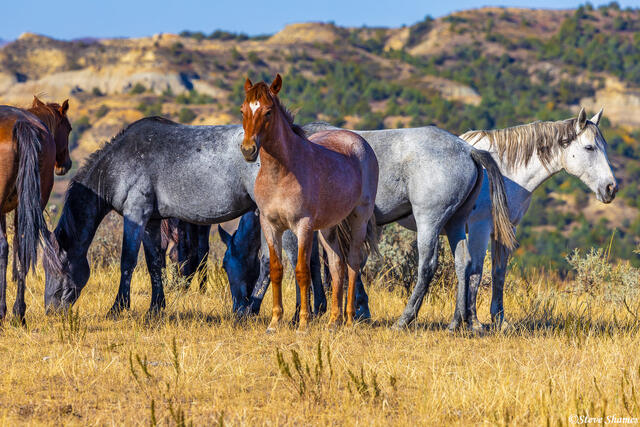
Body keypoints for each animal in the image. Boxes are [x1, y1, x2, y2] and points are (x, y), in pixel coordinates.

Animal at [0, 97, 72, 322]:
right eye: (69, 129)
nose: (66, 164)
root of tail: (22, 124)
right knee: (23, 246)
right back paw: (19, 312)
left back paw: (4, 311)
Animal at [43, 117, 327, 317]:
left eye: (57, 266)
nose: (50, 309)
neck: (118, 163)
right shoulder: (152, 221)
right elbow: (154, 262)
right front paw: (156, 307)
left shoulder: (135, 214)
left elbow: (128, 261)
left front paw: (118, 307)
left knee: (295, 258)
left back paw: (293, 315)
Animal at [240, 74, 379, 332]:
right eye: (243, 109)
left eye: (268, 112)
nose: (248, 150)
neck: (281, 173)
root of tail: (358, 141)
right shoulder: (270, 226)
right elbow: (276, 270)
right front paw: (275, 322)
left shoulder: (302, 227)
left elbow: (302, 271)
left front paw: (303, 322)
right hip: (328, 229)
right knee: (337, 265)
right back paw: (333, 321)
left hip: (358, 219)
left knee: (353, 264)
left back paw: (349, 319)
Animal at [460, 108, 617, 329]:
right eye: (589, 147)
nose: (611, 188)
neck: (499, 171)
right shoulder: (478, 228)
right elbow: (475, 271)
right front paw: (473, 322)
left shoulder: (505, 229)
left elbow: (498, 274)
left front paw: (500, 320)